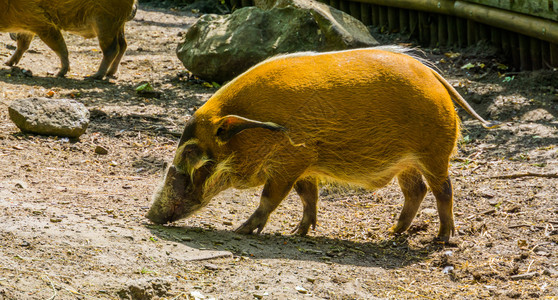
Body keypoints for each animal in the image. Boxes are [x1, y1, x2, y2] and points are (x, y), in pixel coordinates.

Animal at [0, 0, 138, 78]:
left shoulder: (42, 23)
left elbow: (60, 47)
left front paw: (59, 74)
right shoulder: (29, 25)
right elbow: (22, 45)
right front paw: (7, 63)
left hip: (105, 23)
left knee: (112, 49)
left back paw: (94, 76)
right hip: (118, 25)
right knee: (123, 45)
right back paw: (110, 73)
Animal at [147, 45, 500, 241]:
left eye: (193, 154)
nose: (150, 216)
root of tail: (436, 79)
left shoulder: (290, 162)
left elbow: (269, 198)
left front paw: (240, 230)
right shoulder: (304, 166)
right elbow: (308, 197)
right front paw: (298, 233)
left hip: (434, 154)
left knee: (444, 190)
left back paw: (441, 239)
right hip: (408, 163)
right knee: (416, 191)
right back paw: (391, 233)